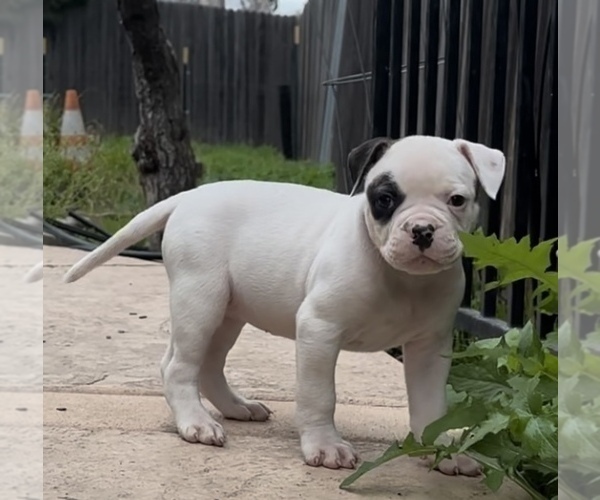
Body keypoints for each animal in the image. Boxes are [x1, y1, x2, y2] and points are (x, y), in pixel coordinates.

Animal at [64, 136, 506, 476]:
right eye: (385, 198)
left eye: (457, 200)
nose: (422, 230)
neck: (400, 276)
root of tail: (190, 194)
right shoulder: (319, 329)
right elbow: (319, 395)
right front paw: (325, 447)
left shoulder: (430, 347)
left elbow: (431, 406)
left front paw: (443, 450)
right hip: (200, 298)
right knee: (178, 365)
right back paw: (195, 422)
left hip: (228, 312)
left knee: (207, 364)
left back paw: (236, 407)